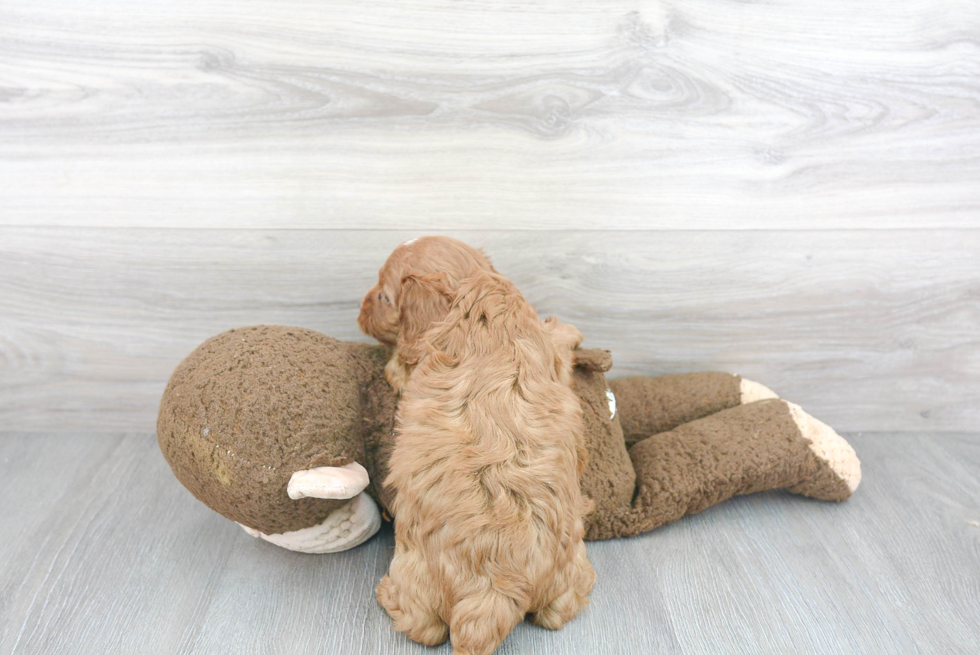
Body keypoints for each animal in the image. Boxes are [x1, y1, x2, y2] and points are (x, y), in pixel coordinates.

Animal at [366, 240, 592, 655]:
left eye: (383, 297)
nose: (359, 311)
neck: (472, 287)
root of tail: (490, 594)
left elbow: (398, 365)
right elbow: (557, 343)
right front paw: (569, 329)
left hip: (413, 576)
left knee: (424, 628)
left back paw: (385, 594)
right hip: (570, 569)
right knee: (558, 612)